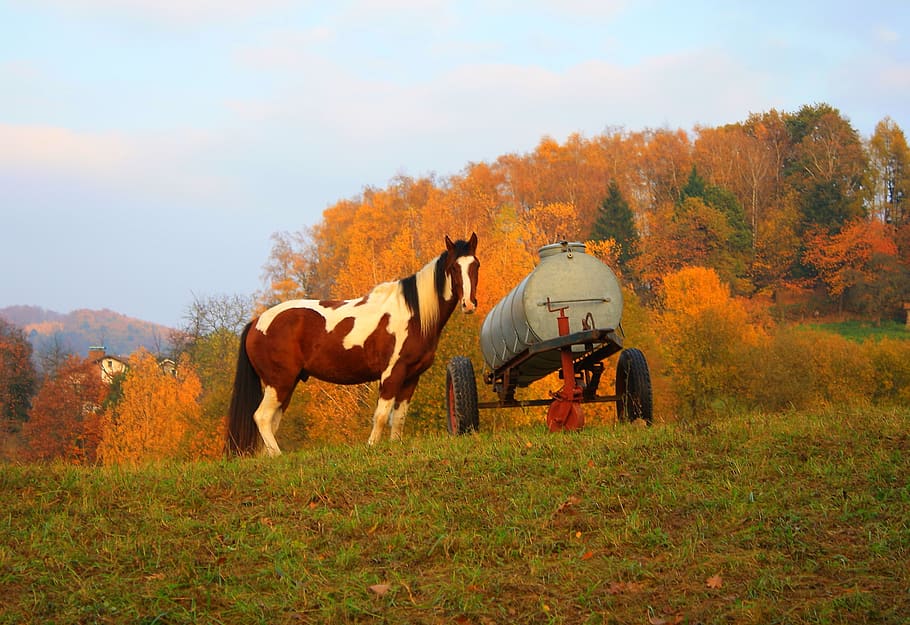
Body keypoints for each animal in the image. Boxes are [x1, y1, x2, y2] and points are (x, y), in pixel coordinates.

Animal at [226, 233, 479, 456]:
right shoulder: (392, 374)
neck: (413, 314)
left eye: (475, 265)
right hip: (279, 382)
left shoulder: (411, 377)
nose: (468, 304)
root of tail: (257, 322)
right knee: (262, 417)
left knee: (271, 421)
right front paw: (372, 447)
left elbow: (398, 418)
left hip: (286, 384)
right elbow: (381, 416)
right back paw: (277, 455)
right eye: (454, 268)